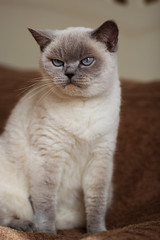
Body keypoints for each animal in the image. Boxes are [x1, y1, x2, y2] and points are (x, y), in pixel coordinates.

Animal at [0, 20, 120, 234]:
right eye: (57, 63)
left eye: (86, 61)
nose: (69, 73)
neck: (82, 106)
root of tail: (65, 224)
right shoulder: (48, 157)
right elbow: (46, 204)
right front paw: (47, 233)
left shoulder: (100, 158)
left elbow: (96, 204)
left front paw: (97, 233)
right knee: (8, 217)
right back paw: (28, 227)